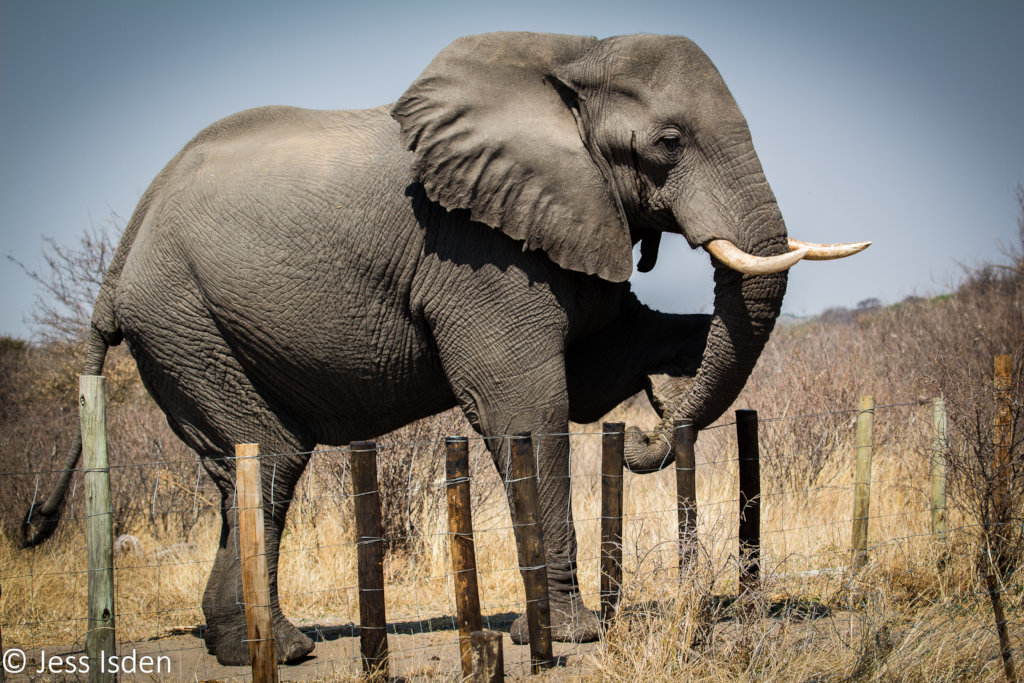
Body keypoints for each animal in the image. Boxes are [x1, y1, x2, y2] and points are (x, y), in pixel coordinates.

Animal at [22, 32, 867, 665]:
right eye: (668, 141)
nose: (649, 433)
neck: (574, 55)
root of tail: (119, 262)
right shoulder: (474, 251)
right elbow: (530, 405)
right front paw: (571, 635)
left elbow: (602, 361)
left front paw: (674, 371)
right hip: (183, 320)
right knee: (270, 450)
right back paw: (280, 649)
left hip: (185, 326)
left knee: (257, 464)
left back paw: (265, 647)